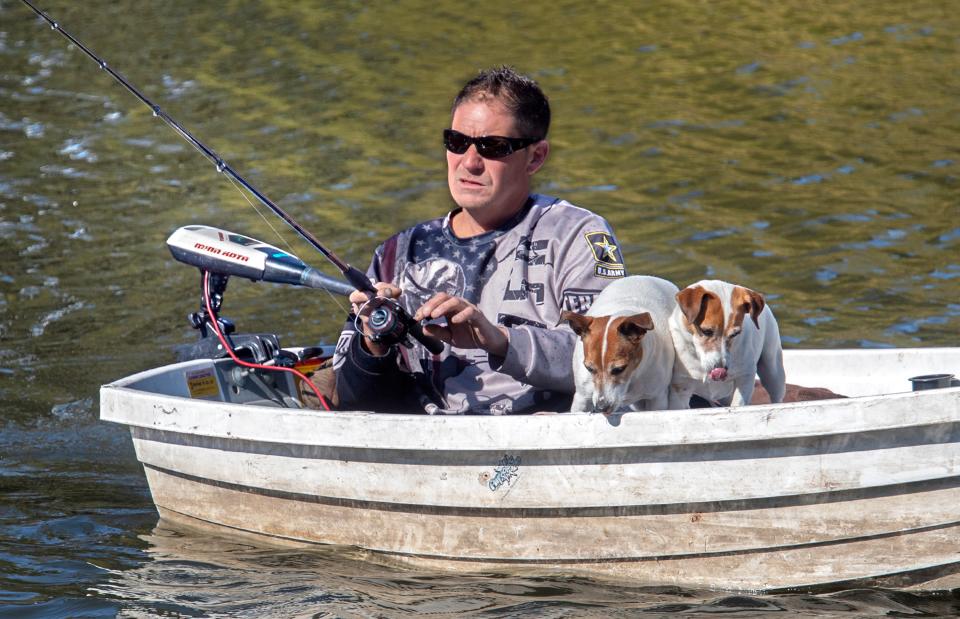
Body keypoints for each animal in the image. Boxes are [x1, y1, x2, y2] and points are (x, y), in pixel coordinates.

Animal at [668, 278, 788, 410]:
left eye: (735, 334)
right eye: (706, 331)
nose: (720, 368)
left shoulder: (745, 376)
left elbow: (739, 402)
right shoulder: (681, 387)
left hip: (772, 368)